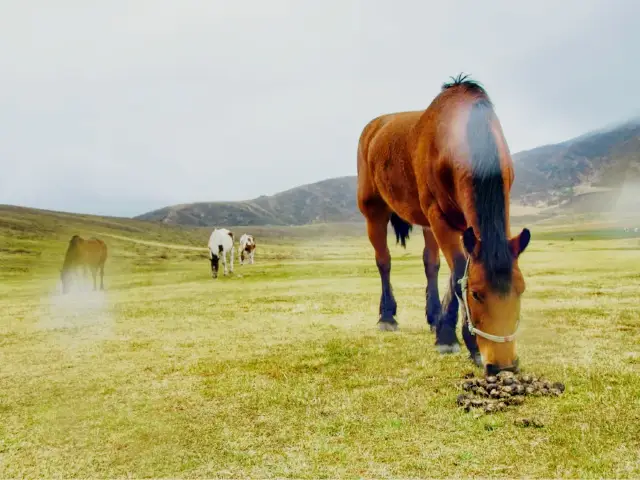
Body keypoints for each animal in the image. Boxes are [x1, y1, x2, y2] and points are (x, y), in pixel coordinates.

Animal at [358, 74, 532, 376]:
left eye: (520, 290)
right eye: (476, 294)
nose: (503, 366)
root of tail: (374, 126)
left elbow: (454, 272)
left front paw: (444, 328)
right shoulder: (439, 217)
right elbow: (460, 271)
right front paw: (455, 339)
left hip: (427, 225)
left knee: (430, 263)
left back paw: (432, 316)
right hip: (374, 213)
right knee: (384, 261)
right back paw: (387, 317)